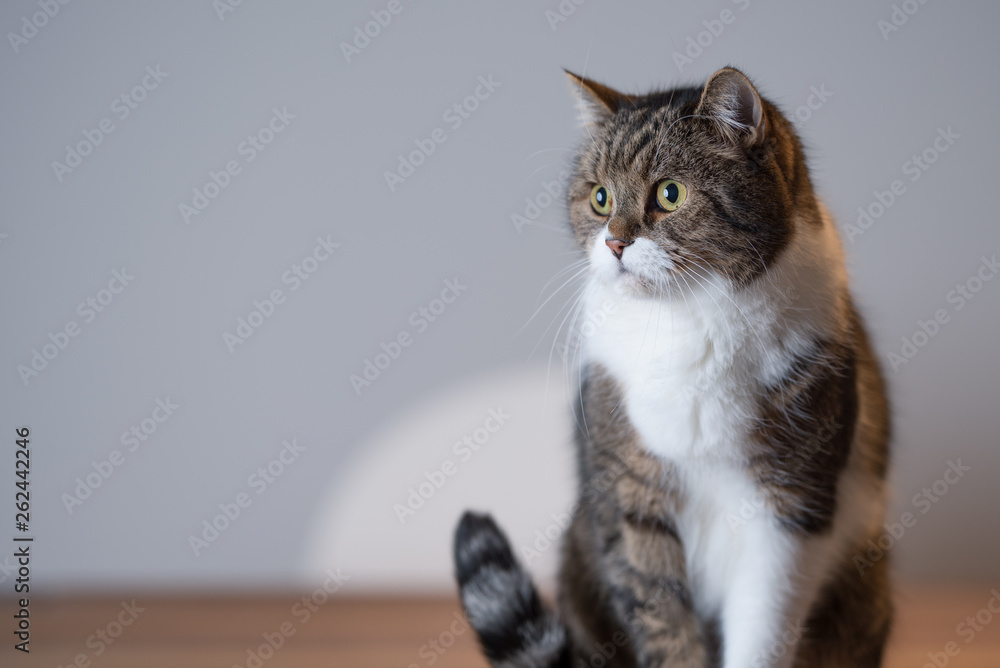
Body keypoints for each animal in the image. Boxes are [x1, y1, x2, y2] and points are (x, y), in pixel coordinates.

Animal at [454, 66, 892, 668]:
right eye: (600, 198)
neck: (684, 322)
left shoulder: (790, 506)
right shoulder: (631, 496)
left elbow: (763, 625)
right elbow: (661, 615)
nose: (615, 242)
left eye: (670, 193)